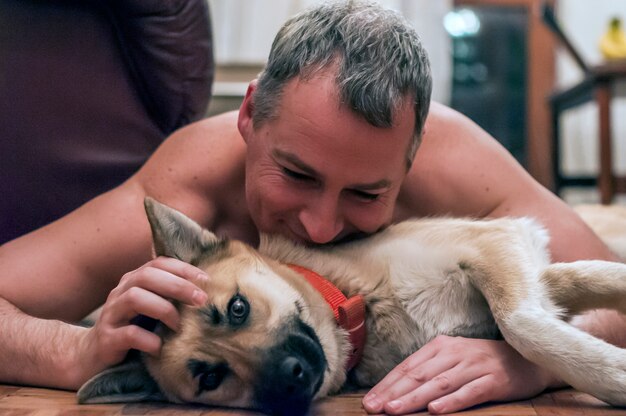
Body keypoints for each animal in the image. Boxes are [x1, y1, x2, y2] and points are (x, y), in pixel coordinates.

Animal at [77, 199, 624, 416]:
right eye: (210, 377)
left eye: (237, 309)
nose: (294, 373)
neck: (364, 304)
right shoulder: (526, 270)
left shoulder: (500, 248)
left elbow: (524, 325)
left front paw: (612, 374)